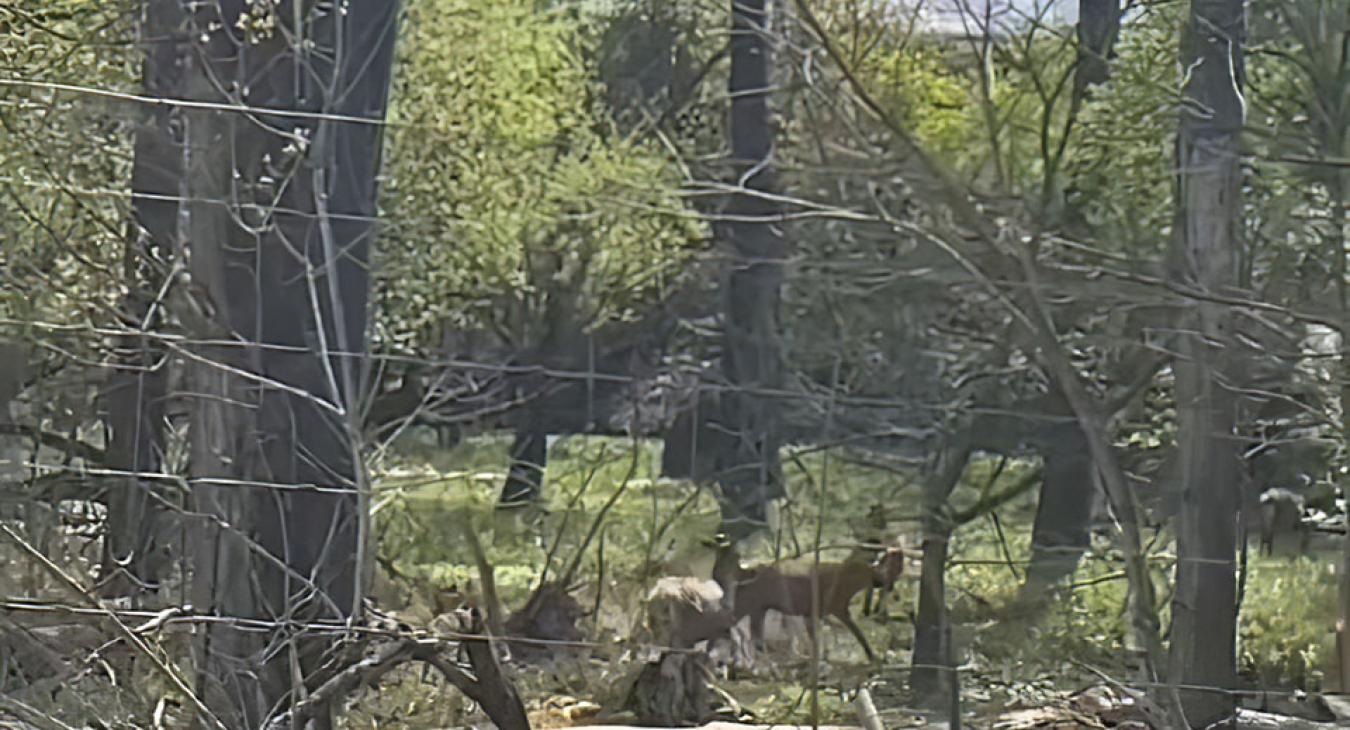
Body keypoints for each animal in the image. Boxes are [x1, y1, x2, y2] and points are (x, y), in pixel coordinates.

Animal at [729, 545, 907, 661]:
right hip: (751, 608)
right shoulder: (836, 610)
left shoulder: (817, 614)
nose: (896, 550)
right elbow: (855, 633)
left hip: (758, 610)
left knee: (753, 638)